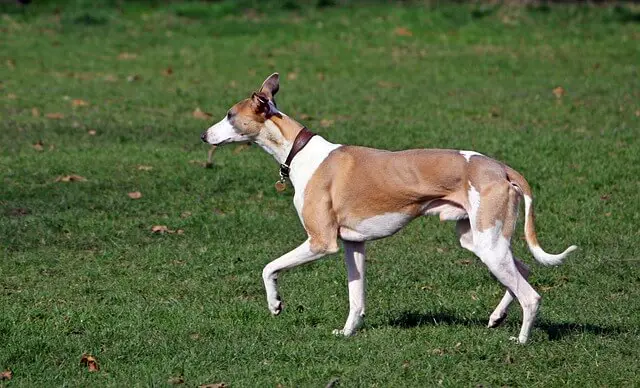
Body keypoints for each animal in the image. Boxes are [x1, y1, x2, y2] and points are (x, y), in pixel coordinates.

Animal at [202, 74, 576, 344]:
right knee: (523, 269)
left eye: (229, 115)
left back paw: (521, 340)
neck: (300, 150)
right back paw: (497, 317)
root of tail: (501, 168)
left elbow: (269, 268)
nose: (204, 135)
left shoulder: (321, 242)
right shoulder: (353, 244)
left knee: (531, 295)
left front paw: (275, 304)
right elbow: (356, 297)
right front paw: (347, 332)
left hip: (488, 244)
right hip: (479, 240)